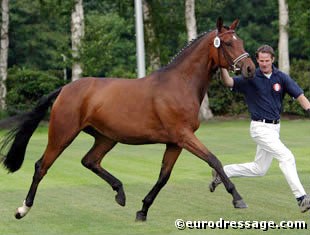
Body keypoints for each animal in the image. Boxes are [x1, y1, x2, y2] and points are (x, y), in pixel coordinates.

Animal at [0, 17, 256, 221]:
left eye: (241, 41)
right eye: (228, 43)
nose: (250, 69)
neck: (180, 84)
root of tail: (65, 88)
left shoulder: (175, 142)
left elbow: (163, 176)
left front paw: (142, 210)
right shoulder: (184, 136)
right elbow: (214, 160)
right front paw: (237, 198)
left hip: (106, 138)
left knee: (89, 161)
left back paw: (120, 192)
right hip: (62, 134)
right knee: (42, 166)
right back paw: (23, 209)